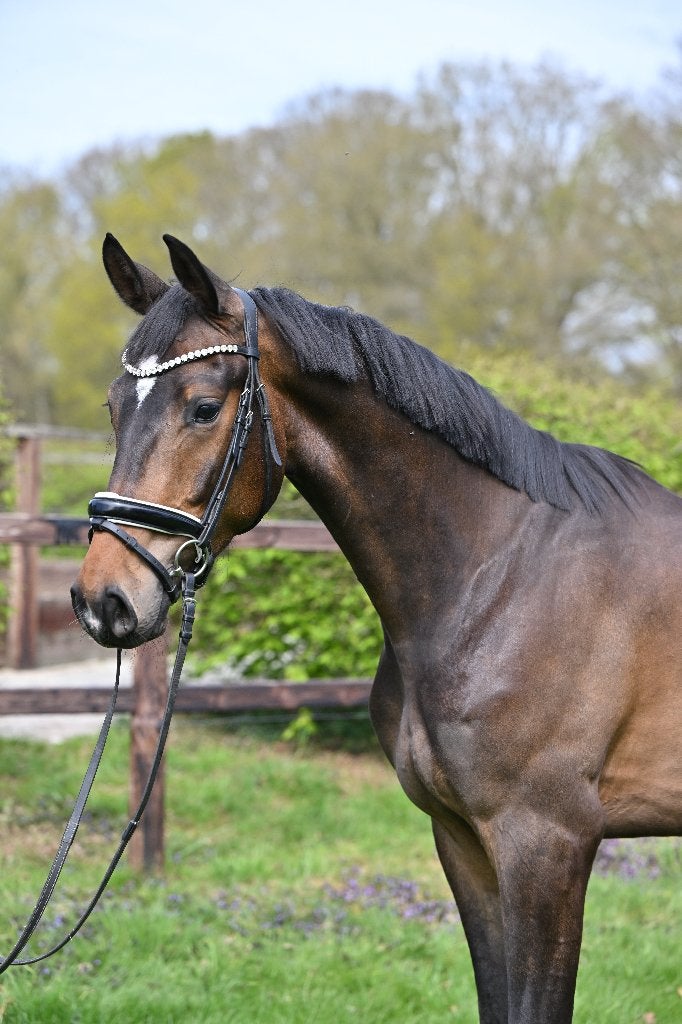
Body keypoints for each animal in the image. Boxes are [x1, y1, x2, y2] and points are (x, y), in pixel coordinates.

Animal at [72, 234, 682, 1024]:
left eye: (203, 408)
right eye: (114, 407)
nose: (103, 599)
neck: (500, 575)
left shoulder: (547, 845)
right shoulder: (463, 840)